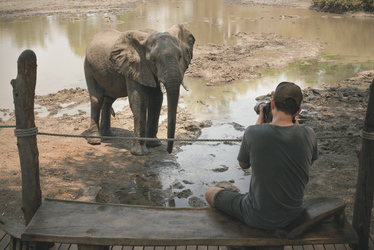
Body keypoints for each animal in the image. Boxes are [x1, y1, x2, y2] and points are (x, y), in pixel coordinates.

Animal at [84, 24, 196, 155]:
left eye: (180, 56)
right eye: (153, 59)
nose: (168, 151)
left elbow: (156, 100)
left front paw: (154, 144)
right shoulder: (134, 66)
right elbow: (139, 102)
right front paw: (140, 153)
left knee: (109, 100)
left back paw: (108, 136)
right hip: (88, 67)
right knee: (97, 100)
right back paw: (95, 141)